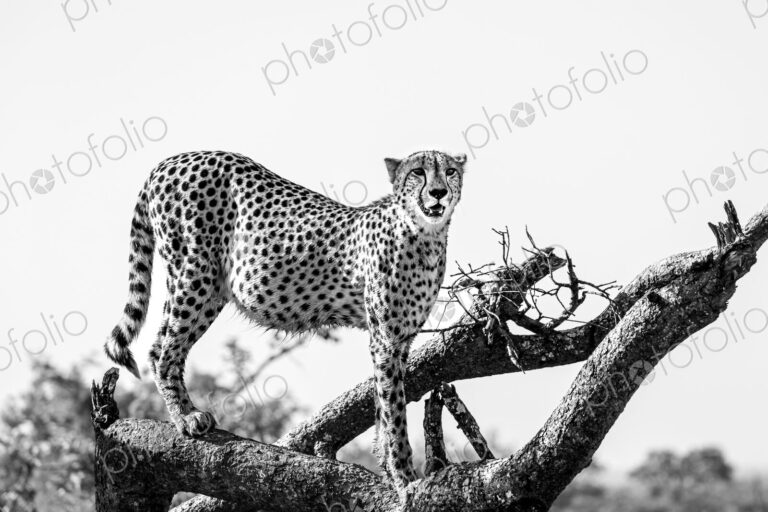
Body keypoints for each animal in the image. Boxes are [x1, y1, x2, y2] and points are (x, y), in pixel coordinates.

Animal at [104, 149, 466, 491]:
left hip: (202, 286)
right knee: (166, 351)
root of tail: (173, 159)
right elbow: (394, 409)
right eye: (418, 172)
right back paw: (187, 417)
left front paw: (387, 466)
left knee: (157, 346)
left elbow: (383, 405)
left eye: (450, 170)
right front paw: (405, 476)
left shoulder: (399, 340)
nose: (438, 192)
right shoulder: (386, 339)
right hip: (197, 274)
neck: (426, 235)